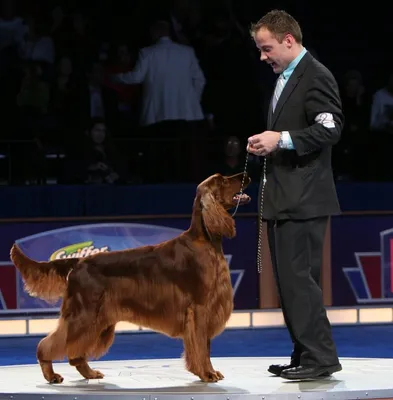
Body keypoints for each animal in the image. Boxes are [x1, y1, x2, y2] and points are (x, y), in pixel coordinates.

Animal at [9, 172, 251, 384]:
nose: (245, 175)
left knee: (75, 353)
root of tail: (79, 262)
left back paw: (90, 373)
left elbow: (205, 346)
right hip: (84, 314)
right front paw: (206, 374)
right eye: (222, 180)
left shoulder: (207, 309)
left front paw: (209, 372)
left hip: (99, 320)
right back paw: (51, 375)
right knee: (49, 344)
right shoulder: (199, 309)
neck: (206, 240)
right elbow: (201, 347)